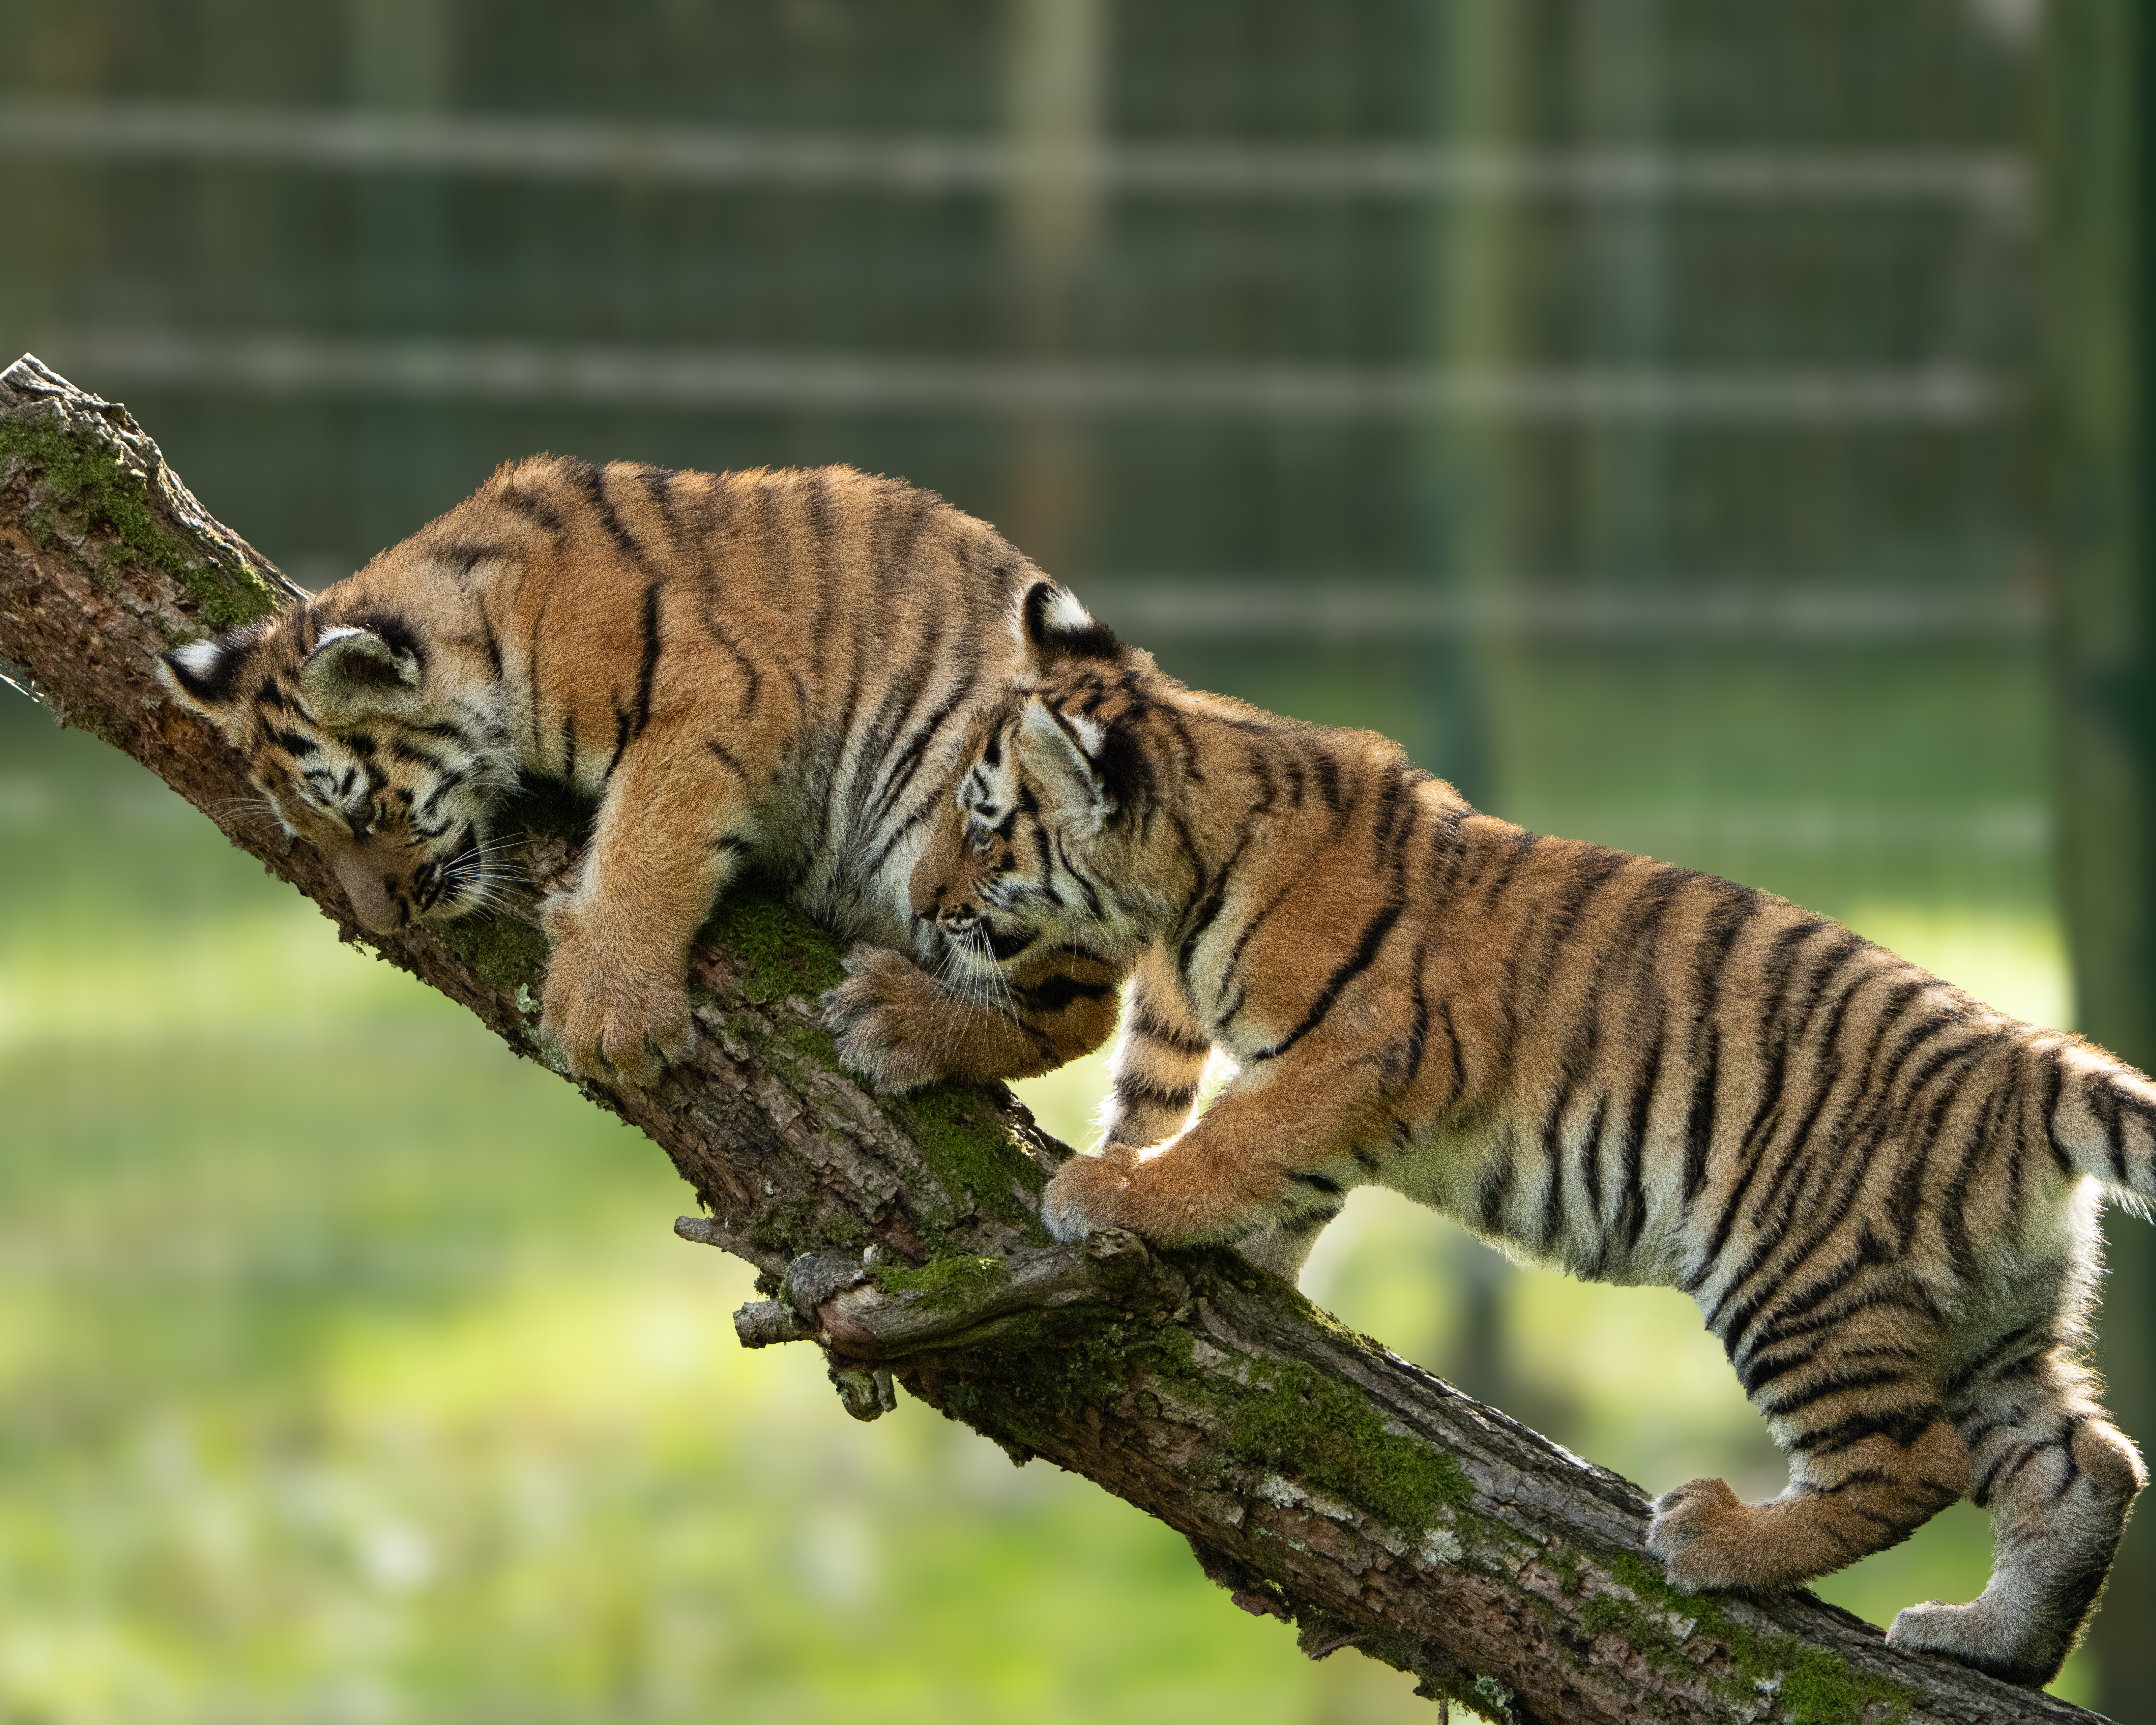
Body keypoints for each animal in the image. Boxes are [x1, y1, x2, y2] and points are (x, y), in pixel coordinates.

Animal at [156, 458, 1124, 1090]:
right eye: (310, 834)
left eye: (359, 817)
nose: (381, 923)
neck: (486, 625)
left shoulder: (721, 691)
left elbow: (647, 846)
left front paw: (608, 1017)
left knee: (1082, 1008)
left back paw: (892, 1018)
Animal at [840, 576, 2154, 1688]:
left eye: (985, 825)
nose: (921, 901)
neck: (1197, 863)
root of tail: (2031, 1062)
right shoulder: (1322, 1080)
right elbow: (1279, 1179)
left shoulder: (1362, 1047)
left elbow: (1234, 1140)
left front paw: (1110, 1192)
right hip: (1989, 1322)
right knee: (2087, 1464)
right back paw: (1991, 1639)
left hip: (1797, 1275)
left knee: (1913, 1459)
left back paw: (1719, 1541)